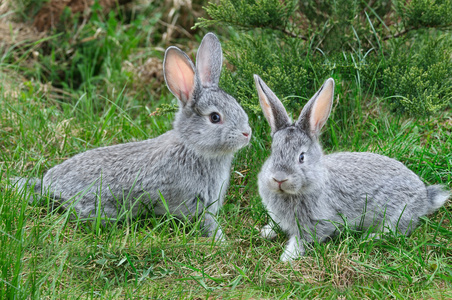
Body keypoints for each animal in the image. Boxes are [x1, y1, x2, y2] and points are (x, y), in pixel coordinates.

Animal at [13, 32, 251, 240]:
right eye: (215, 117)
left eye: (236, 104)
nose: (247, 133)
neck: (192, 147)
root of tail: (46, 186)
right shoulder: (193, 203)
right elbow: (206, 222)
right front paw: (220, 241)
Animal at [254, 74, 448, 260]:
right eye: (273, 152)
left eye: (301, 157)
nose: (279, 178)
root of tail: (425, 197)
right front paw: (266, 231)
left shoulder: (317, 223)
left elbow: (303, 240)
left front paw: (287, 257)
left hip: (399, 214)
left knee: (396, 231)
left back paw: (369, 237)